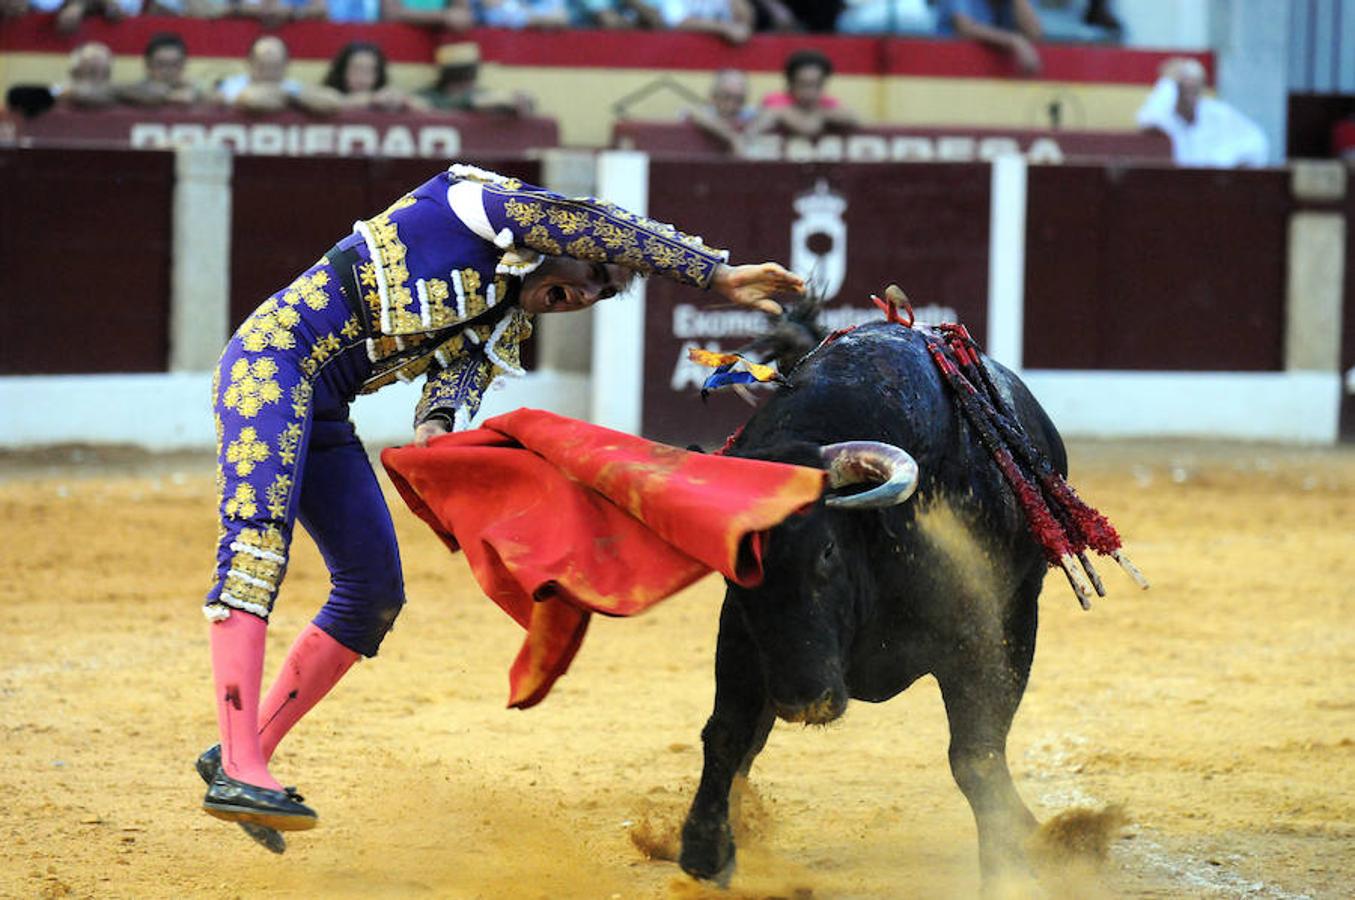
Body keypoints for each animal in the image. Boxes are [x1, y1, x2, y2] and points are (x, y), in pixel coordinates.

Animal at [682, 319, 1062, 883]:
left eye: (827, 549)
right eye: (734, 565)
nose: (804, 701)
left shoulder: (978, 630)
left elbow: (976, 754)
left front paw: (1008, 868)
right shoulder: (742, 636)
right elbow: (728, 734)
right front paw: (703, 849)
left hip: (1022, 609)